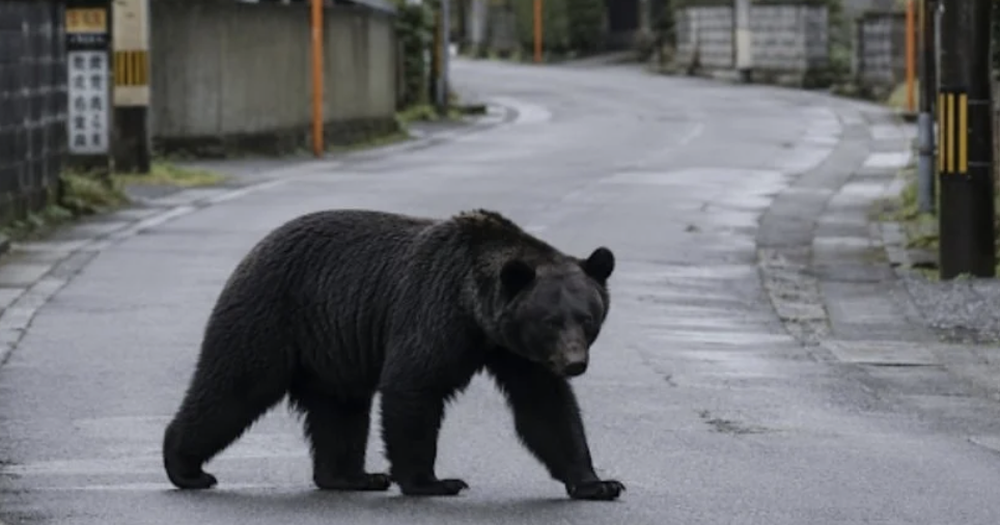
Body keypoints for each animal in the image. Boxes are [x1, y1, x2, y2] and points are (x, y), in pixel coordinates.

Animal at [162, 208, 624, 501]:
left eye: (587, 318)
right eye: (550, 320)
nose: (574, 363)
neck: (475, 312)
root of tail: (254, 250)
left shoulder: (515, 351)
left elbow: (546, 408)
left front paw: (597, 484)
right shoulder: (434, 311)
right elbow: (413, 384)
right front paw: (434, 482)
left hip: (330, 349)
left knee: (340, 411)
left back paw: (352, 477)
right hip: (271, 314)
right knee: (233, 387)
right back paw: (186, 467)